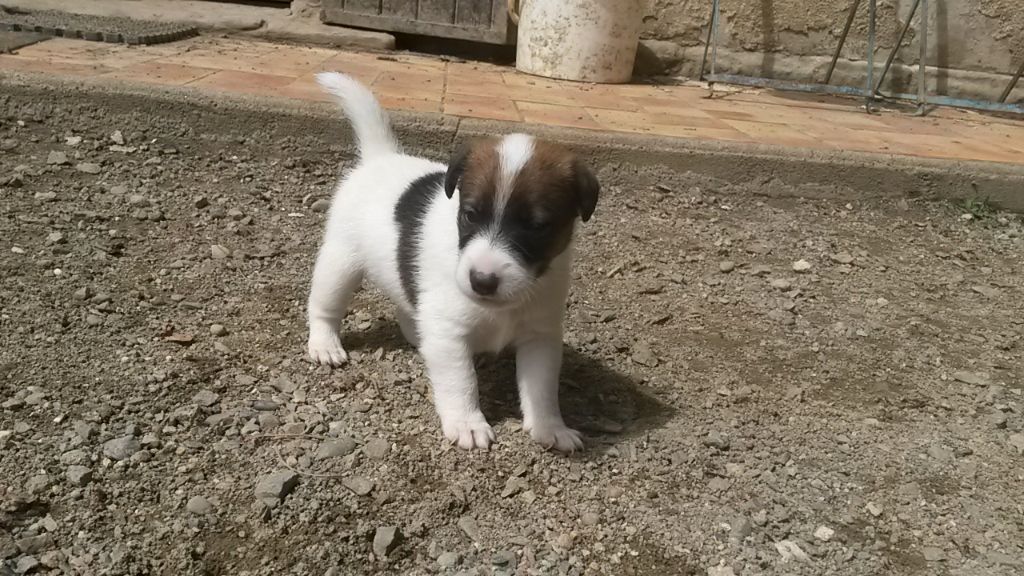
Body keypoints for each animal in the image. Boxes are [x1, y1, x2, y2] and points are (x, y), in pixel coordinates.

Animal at [306, 72, 600, 453]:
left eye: (538, 227)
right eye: (471, 215)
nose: (482, 281)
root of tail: (380, 157)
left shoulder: (540, 337)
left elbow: (542, 389)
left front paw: (550, 426)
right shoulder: (450, 335)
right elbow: (461, 382)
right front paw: (467, 422)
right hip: (340, 262)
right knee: (324, 305)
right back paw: (324, 343)